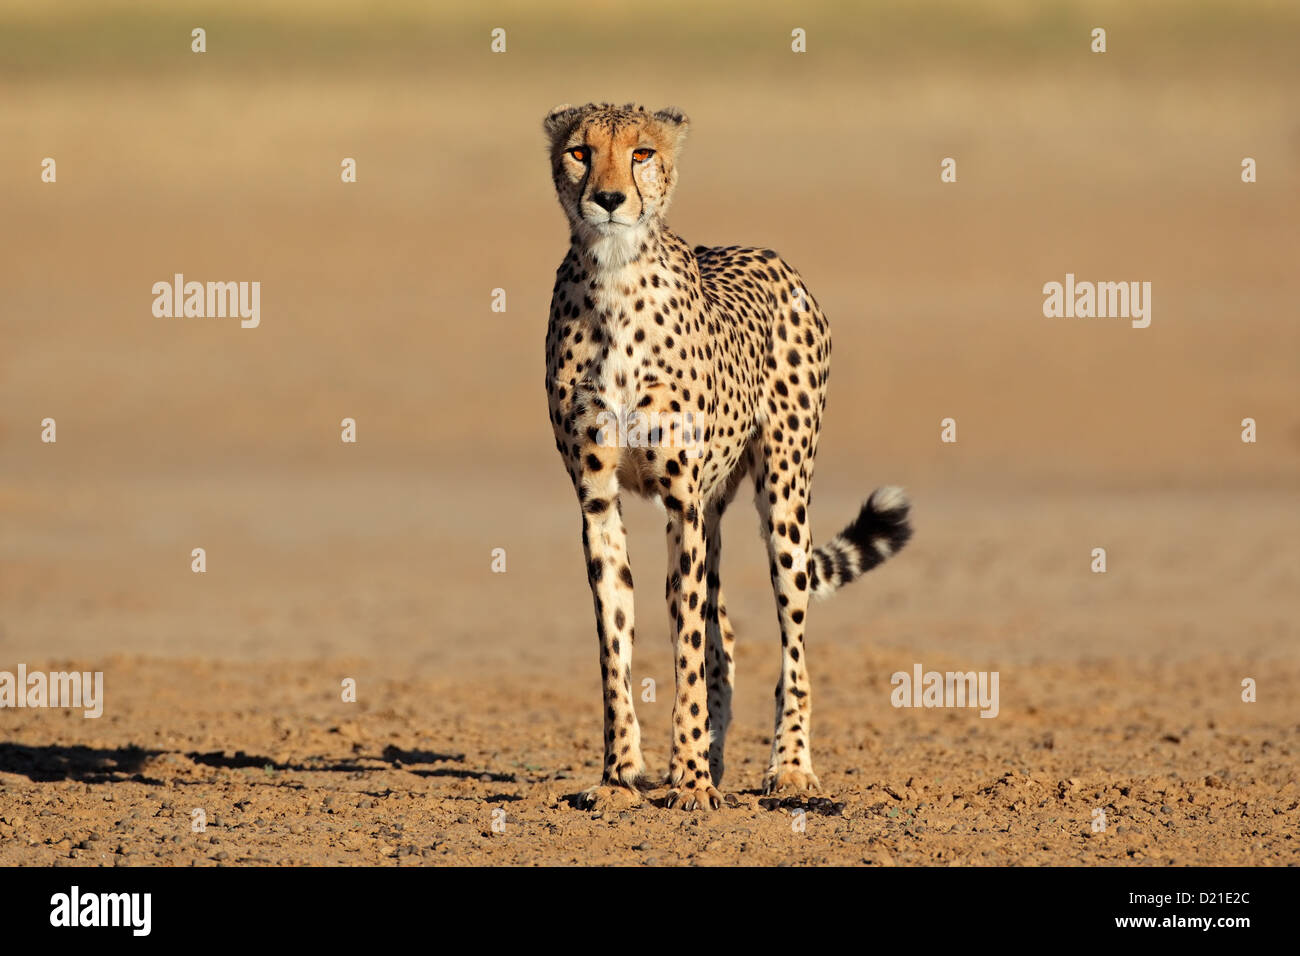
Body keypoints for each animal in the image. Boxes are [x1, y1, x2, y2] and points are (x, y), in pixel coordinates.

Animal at [540, 102, 915, 806]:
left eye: (641, 153)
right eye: (580, 152)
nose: (609, 199)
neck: (615, 275)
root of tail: (771, 255)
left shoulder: (680, 502)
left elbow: (684, 645)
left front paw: (687, 779)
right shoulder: (598, 501)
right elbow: (616, 644)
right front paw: (620, 777)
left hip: (784, 500)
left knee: (791, 647)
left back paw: (788, 769)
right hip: (714, 507)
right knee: (726, 630)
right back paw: (712, 761)